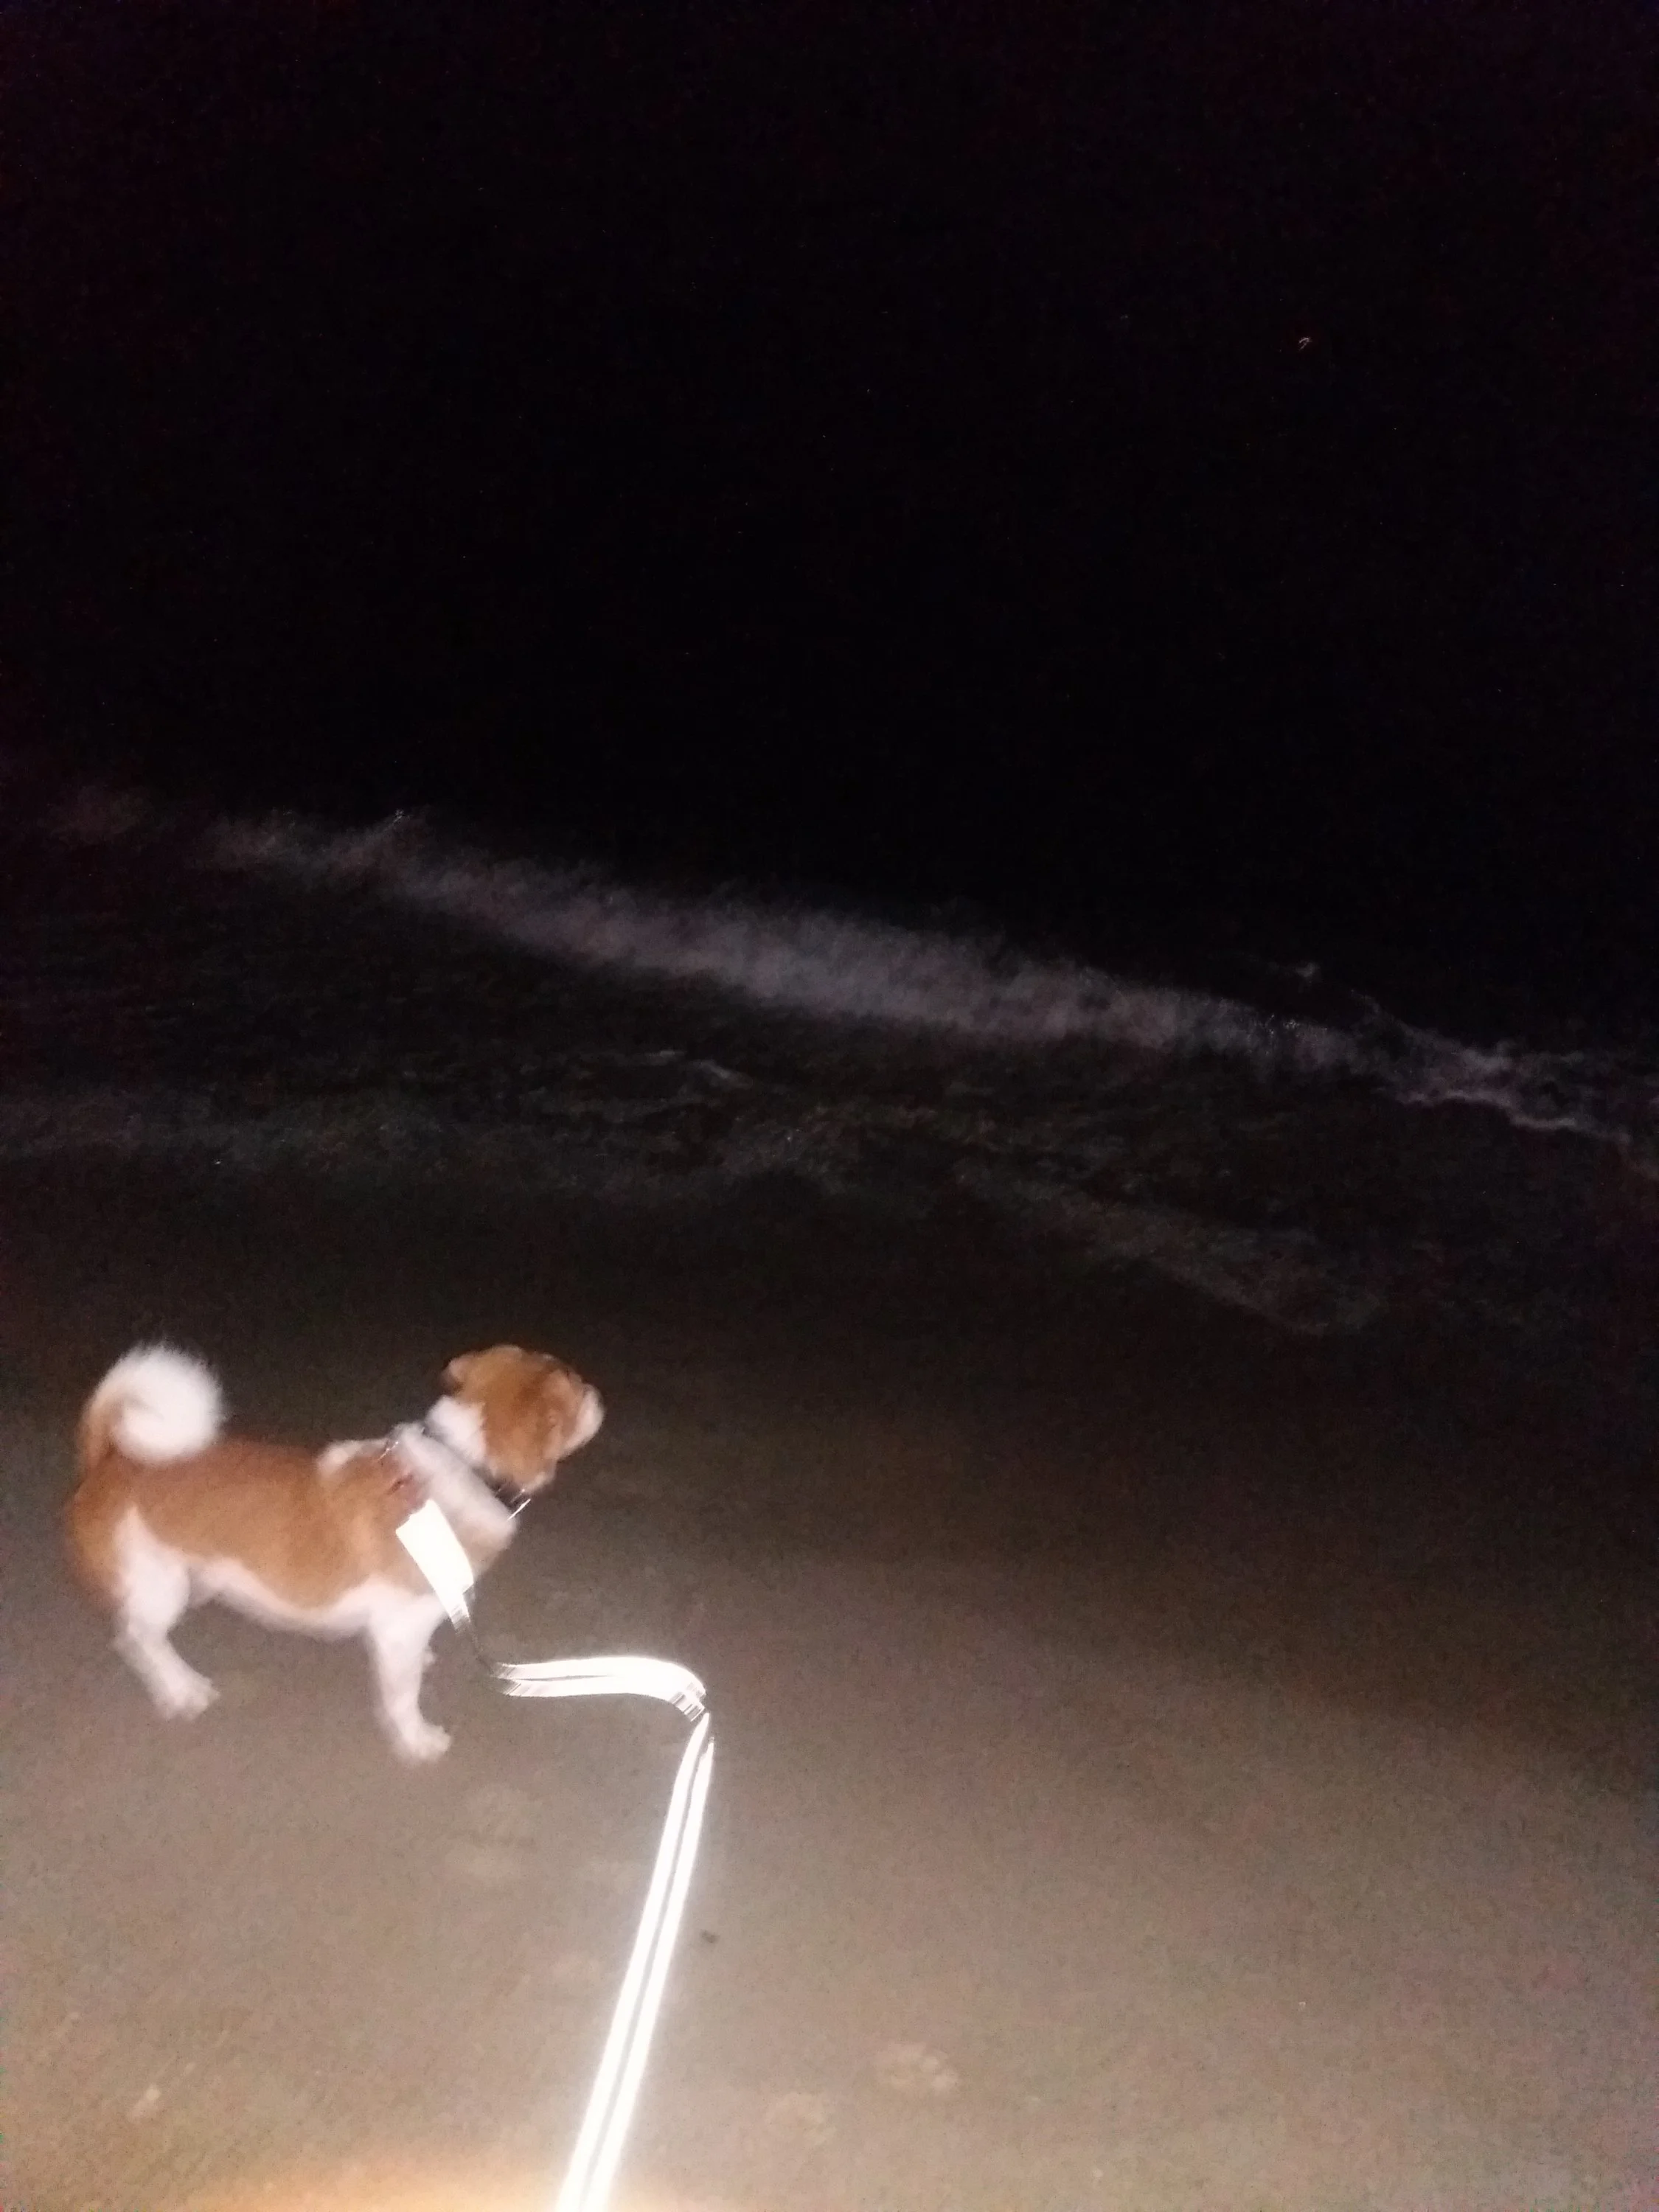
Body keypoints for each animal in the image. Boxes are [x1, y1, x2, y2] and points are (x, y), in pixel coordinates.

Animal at [68, 1342, 604, 1761]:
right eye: (576, 1387)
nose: (599, 1393)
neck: (464, 1463)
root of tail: (109, 1459)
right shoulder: (399, 1630)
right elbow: (403, 1695)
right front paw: (416, 1740)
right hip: (160, 1587)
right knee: (140, 1640)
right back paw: (182, 1689)